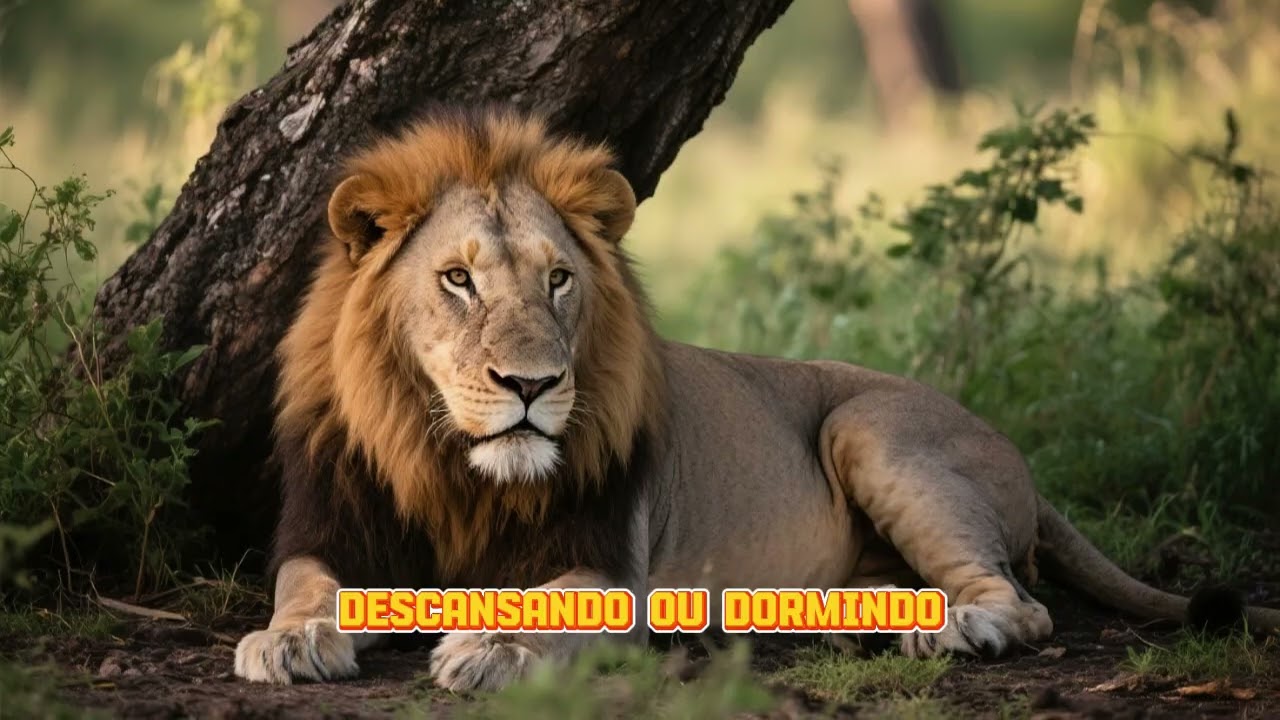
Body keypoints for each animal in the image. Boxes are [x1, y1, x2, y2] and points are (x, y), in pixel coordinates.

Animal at [234, 105, 1280, 691]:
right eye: (457, 280)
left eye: (559, 280)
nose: (531, 385)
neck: (456, 464)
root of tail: (1009, 449)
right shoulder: (327, 527)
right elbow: (303, 587)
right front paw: (289, 643)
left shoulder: (609, 566)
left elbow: (541, 607)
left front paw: (486, 645)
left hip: (868, 426)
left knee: (1023, 604)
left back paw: (957, 628)